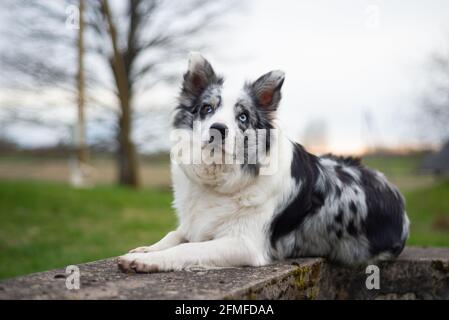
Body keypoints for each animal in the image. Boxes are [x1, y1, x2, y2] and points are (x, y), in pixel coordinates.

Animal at [116, 53, 410, 272]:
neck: (221, 176)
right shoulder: (196, 223)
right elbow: (175, 235)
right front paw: (147, 249)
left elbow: (187, 248)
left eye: (243, 117)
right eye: (207, 108)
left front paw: (145, 260)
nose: (217, 129)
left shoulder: (245, 243)